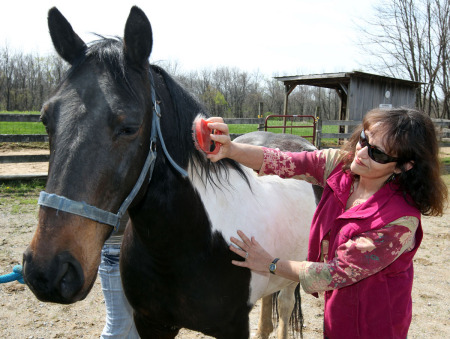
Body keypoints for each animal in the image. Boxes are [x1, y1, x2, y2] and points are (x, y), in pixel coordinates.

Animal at [22, 5, 316, 339]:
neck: (185, 245)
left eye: (129, 126)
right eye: (46, 119)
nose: (49, 271)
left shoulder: (233, 327)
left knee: (284, 308)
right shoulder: (151, 323)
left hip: (291, 273)